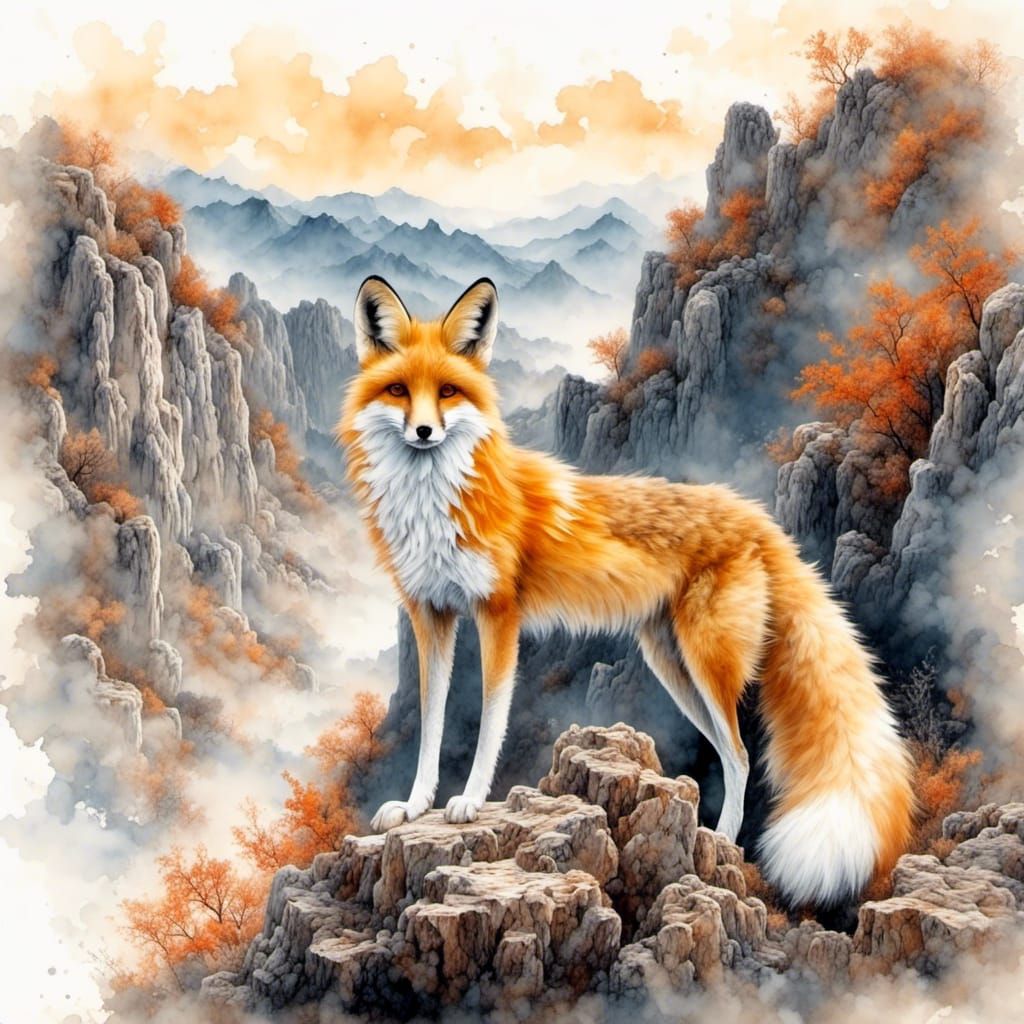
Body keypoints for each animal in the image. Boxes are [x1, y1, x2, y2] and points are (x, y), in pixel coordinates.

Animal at [338, 274, 915, 907]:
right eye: (398, 390)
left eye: (447, 392)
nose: (423, 431)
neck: (436, 504)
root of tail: (757, 514)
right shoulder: (431, 612)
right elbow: (431, 723)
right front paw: (415, 805)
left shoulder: (498, 613)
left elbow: (490, 722)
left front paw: (467, 800)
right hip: (672, 666)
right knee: (730, 755)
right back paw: (718, 836)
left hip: (707, 660)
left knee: (742, 754)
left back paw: (723, 843)